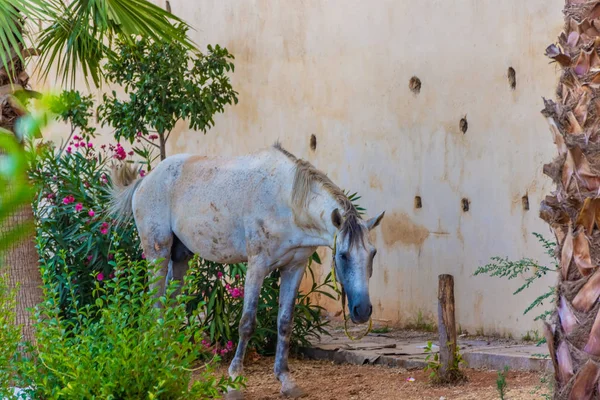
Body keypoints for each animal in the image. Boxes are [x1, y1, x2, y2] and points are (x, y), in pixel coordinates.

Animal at [109, 143, 384, 396]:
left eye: (372, 253)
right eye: (343, 255)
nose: (362, 310)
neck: (287, 200)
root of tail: (145, 180)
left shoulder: (294, 267)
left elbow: (285, 322)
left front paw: (286, 381)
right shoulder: (257, 265)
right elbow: (247, 322)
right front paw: (233, 382)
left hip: (180, 257)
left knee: (170, 305)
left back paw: (170, 361)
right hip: (158, 252)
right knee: (155, 304)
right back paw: (157, 358)